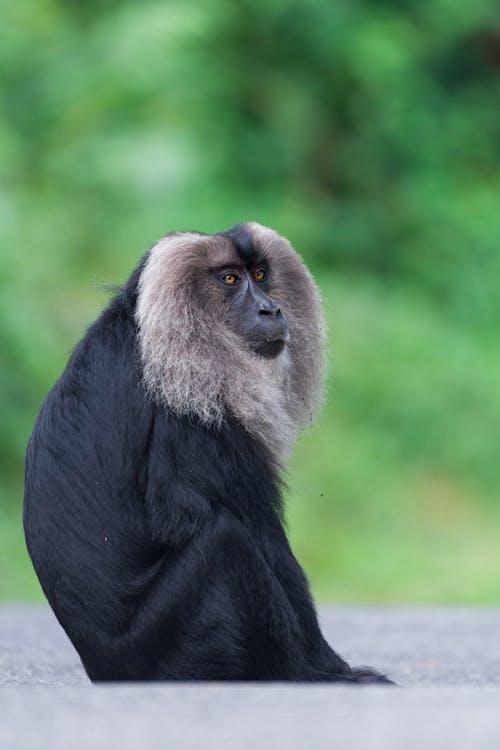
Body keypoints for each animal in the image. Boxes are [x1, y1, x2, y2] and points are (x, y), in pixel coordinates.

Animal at [23, 220, 390, 684]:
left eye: (260, 275)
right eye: (230, 279)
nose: (270, 309)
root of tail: (105, 669)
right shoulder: (191, 414)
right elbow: (257, 536)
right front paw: (327, 673)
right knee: (227, 541)